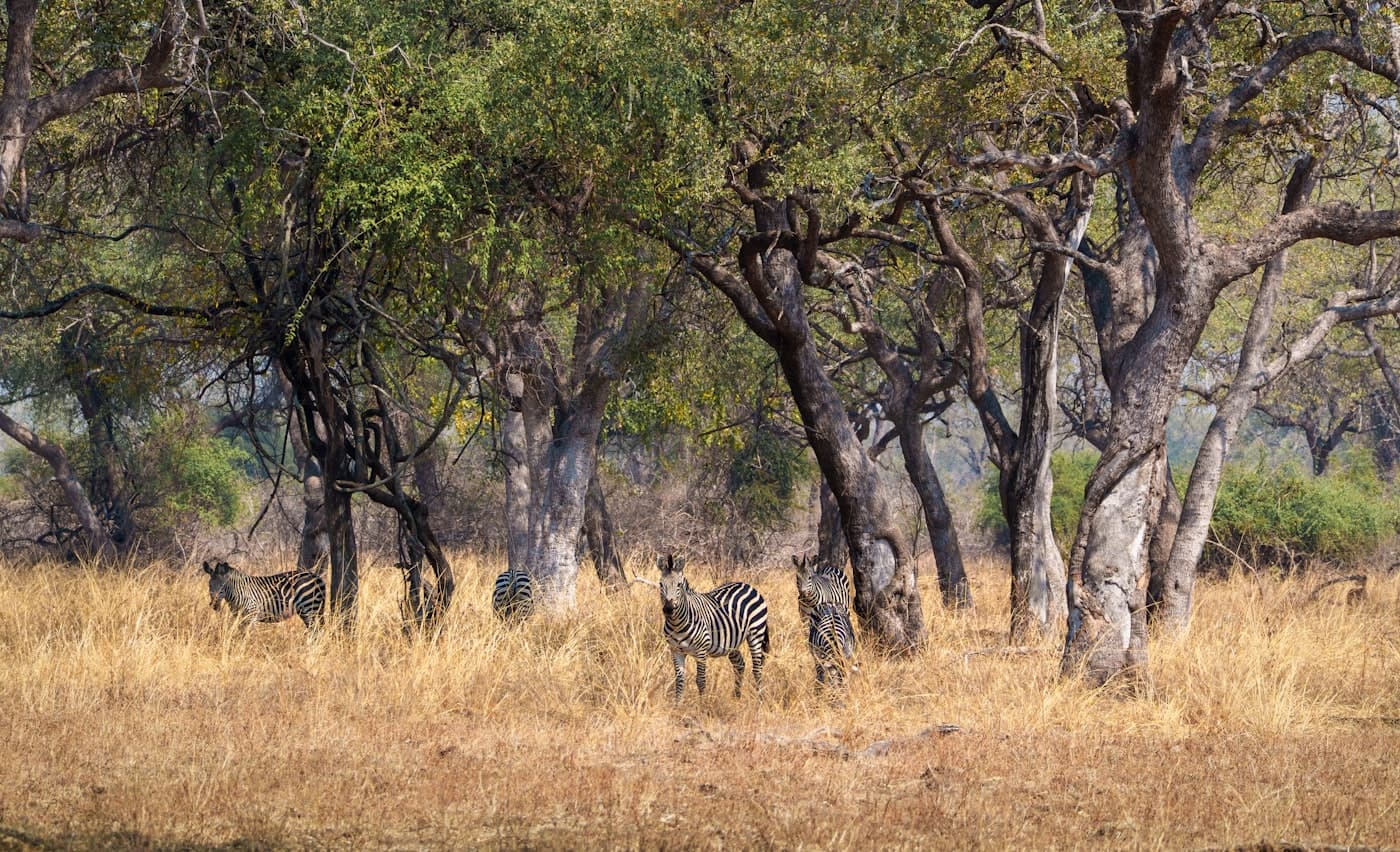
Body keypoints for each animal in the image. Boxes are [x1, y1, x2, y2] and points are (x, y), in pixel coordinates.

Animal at [657, 553, 769, 701]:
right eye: (660, 584)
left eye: (679, 585)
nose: (669, 609)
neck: (677, 624)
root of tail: (747, 585)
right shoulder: (676, 651)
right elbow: (679, 681)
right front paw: (677, 704)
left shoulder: (701, 651)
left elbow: (700, 680)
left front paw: (702, 704)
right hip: (731, 641)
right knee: (739, 664)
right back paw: (737, 697)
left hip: (756, 633)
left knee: (757, 668)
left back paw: (760, 700)